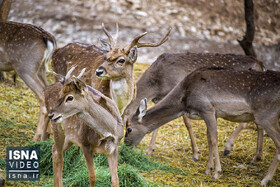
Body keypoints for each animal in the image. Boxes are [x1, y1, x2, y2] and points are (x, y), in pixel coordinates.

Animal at [42, 24, 171, 186]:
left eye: (121, 60)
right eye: (106, 56)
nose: (99, 71)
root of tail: (57, 50)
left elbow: (115, 178)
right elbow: (92, 175)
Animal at [124, 67, 280, 186]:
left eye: (129, 128)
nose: (126, 144)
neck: (184, 100)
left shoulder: (207, 108)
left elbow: (214, 140)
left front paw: (217, 173)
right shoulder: (212, 114)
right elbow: (209, 139)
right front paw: (208, 169)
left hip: (267, 116)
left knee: (278, 144)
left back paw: (265, 180)